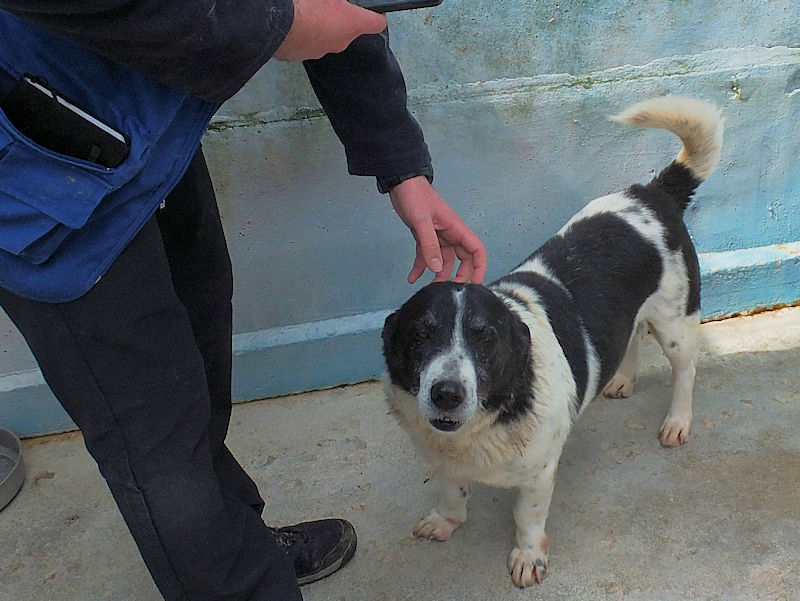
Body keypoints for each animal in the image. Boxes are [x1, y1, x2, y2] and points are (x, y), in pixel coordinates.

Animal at [381, 96, 723, 587]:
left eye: (486, 338)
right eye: (420, 334)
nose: (447, 393)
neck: (489, 418)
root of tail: (652, 193)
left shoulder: (539, 473)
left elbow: (527, 517)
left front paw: (527, 557)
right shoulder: (445, 460)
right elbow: (451, 491)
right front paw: (447, 519)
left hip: (676, 324)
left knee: (685, 371)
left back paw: (678, 419)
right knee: (630, 335)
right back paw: (621, 378)